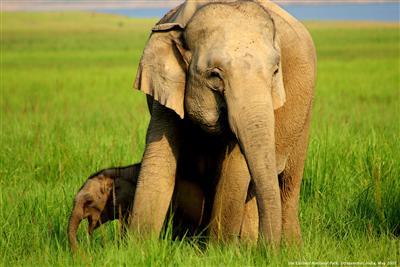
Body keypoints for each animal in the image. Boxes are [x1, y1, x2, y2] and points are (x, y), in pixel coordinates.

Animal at [130, 0, 318, 247]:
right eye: (215, 75)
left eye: (276, 71)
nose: (266, 249)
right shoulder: (167, 93)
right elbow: (158, 162)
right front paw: (138, 248)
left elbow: (235, 169)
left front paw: (221, 250)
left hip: (305, 113)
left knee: (287, 184)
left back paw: (288, 248)